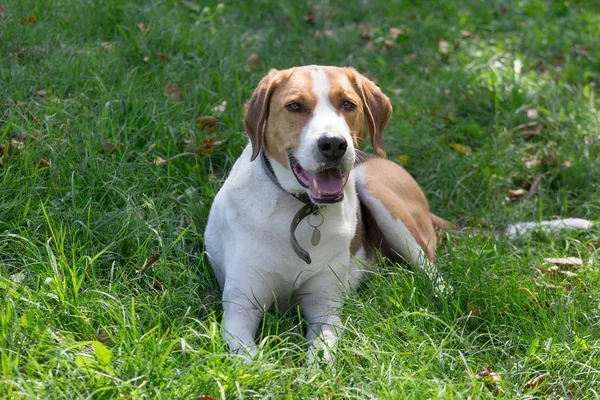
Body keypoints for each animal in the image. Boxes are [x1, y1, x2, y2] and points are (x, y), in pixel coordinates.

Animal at [204, 66, 592, 362]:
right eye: (294, 106)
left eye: (348, 104)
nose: (333, 144)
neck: (301, 211)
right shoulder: (240, 310)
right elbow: (249, 358)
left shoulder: (324, 308)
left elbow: (323, 352)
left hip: (378, 191)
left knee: (434, 273)